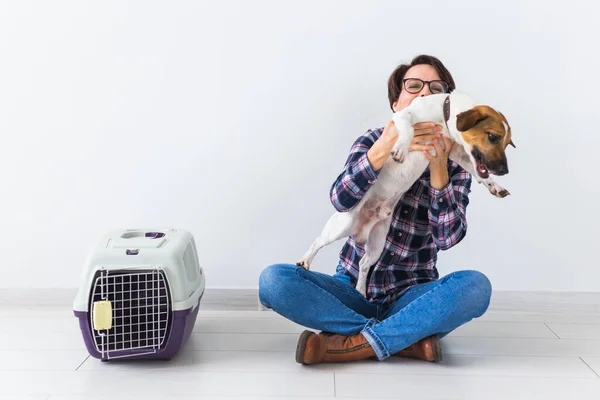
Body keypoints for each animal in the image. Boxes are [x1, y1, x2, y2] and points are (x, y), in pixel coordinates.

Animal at [296, 91, 516, 296]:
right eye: (492, 137)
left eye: (507, 144)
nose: (505, 171)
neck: (443, 115)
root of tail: (362, 227)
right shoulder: (403, 116)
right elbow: (408, 128)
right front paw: (401, 148)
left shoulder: (457, 153)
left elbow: (478, 173)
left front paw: (495, 186)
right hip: (342, 224)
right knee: (318, 241)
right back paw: (304, 261)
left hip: (377, 242)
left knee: (364, 263)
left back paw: (360, 291)